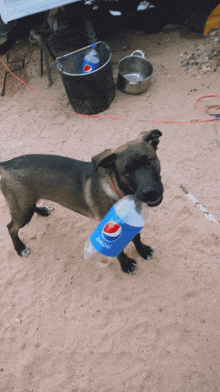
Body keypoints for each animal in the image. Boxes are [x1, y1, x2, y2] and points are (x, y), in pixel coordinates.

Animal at [0, 130, 163, 274]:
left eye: (149, 161)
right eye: (126, 172)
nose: (150, 192)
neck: (119, 191)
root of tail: (6, 164)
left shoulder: (130, 222)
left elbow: (137, 238)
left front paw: (143, 251)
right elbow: (118, 250)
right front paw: (126, 265)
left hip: (26, 203)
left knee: (31, 207)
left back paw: (43, 210)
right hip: (23, 211)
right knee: (11, 227)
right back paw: (20, 248)